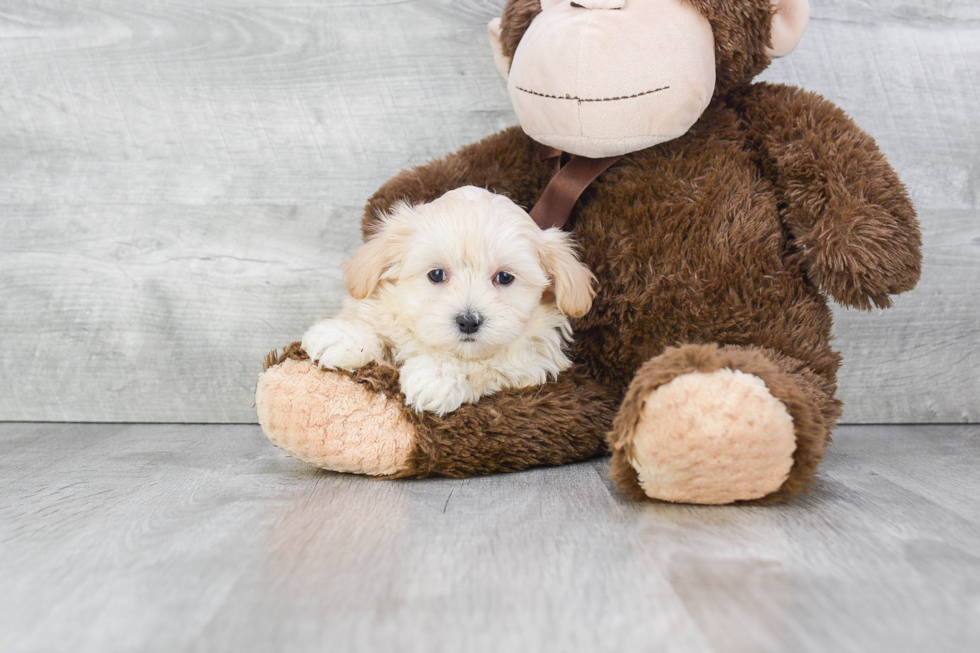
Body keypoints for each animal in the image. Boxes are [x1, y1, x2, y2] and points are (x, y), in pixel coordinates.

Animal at [298, 186, 592, 416]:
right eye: (436, 274)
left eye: (505, 277)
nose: (468, 321)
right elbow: (373, 318)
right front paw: (342, 336)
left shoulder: (529, 362)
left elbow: (486, 365)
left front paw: (437, 375)